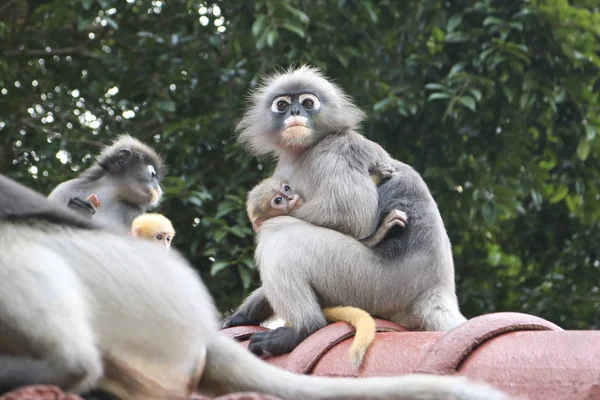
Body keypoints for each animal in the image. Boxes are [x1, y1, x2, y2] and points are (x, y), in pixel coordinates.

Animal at [225, 64, 468, 358]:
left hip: (370, 283)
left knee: (280, 235)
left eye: (307, 102)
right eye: (282, 105)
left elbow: (353, 215)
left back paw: (303, 329)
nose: (295, 112)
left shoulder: (337, 150)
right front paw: (244, 314)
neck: (305, 152)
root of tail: (437, 290)